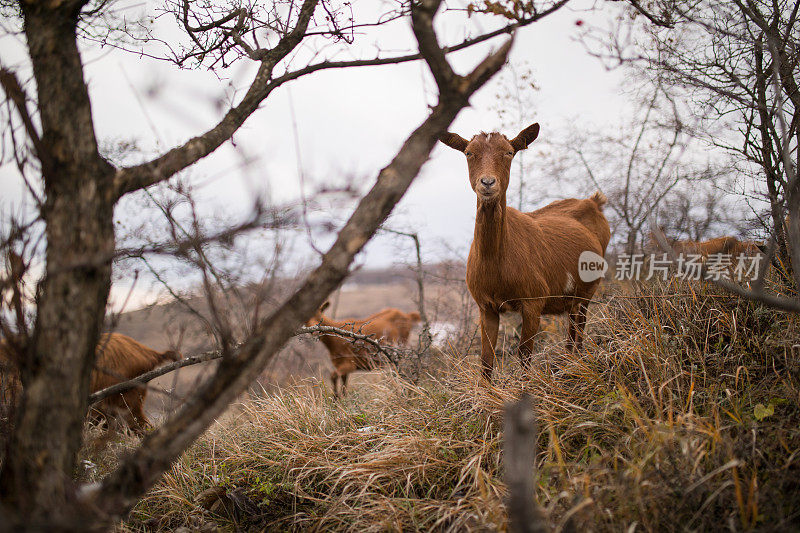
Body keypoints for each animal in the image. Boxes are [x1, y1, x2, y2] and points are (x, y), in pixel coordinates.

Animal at [440, 123, 608, 382]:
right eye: (468, 152)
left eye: (509, 152)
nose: (487, 183)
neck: (496, 263)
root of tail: (593, 202)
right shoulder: (486, 306)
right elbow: (486, 359)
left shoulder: (533, 301)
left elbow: (525, 354)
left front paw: (526, 387)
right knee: (572, 336)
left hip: (587, 291)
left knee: (577, 332)